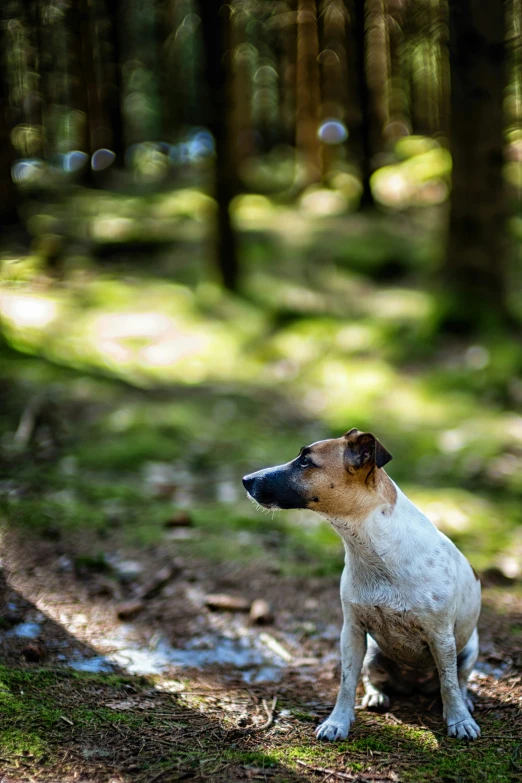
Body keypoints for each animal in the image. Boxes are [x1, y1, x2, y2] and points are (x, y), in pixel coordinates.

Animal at [242, 428, 482, 740]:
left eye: (306, 461)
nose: (246, 480)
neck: (373, 546)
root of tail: (414, 683)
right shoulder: (353, 632)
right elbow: (347, 682)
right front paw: (338, 721)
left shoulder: (441, 636)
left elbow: (449, 683)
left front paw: (458, 720)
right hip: (374, 654)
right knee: (373, 679)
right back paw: (376, 695)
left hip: (468, 650)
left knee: (459, 680)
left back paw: (464, 701)